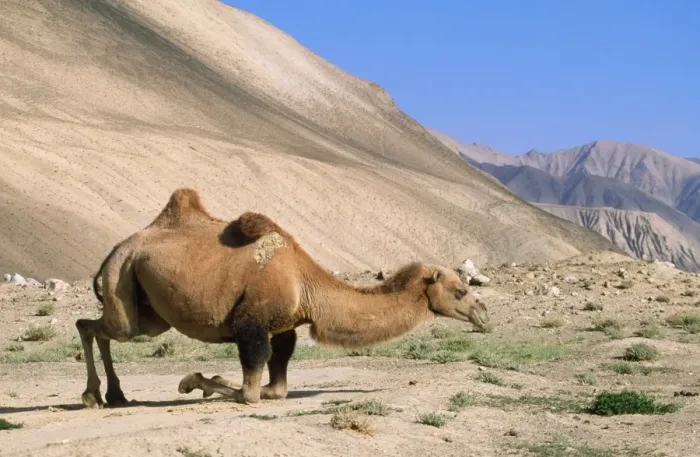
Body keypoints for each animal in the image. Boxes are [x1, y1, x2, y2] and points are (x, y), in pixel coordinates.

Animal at [76, 187, 489, 408]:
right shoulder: (251, 324)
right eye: (460, 290)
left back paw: (111, 395)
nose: (483, 313)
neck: (307, 285)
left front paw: (206, 380)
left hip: (149, 310)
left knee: (97, 326)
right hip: (121, 277)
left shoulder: (284, 328)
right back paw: (96, 395)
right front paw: (192, 381)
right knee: (94, 325)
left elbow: (277, 386)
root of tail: (116, 248)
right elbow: (250, 393)